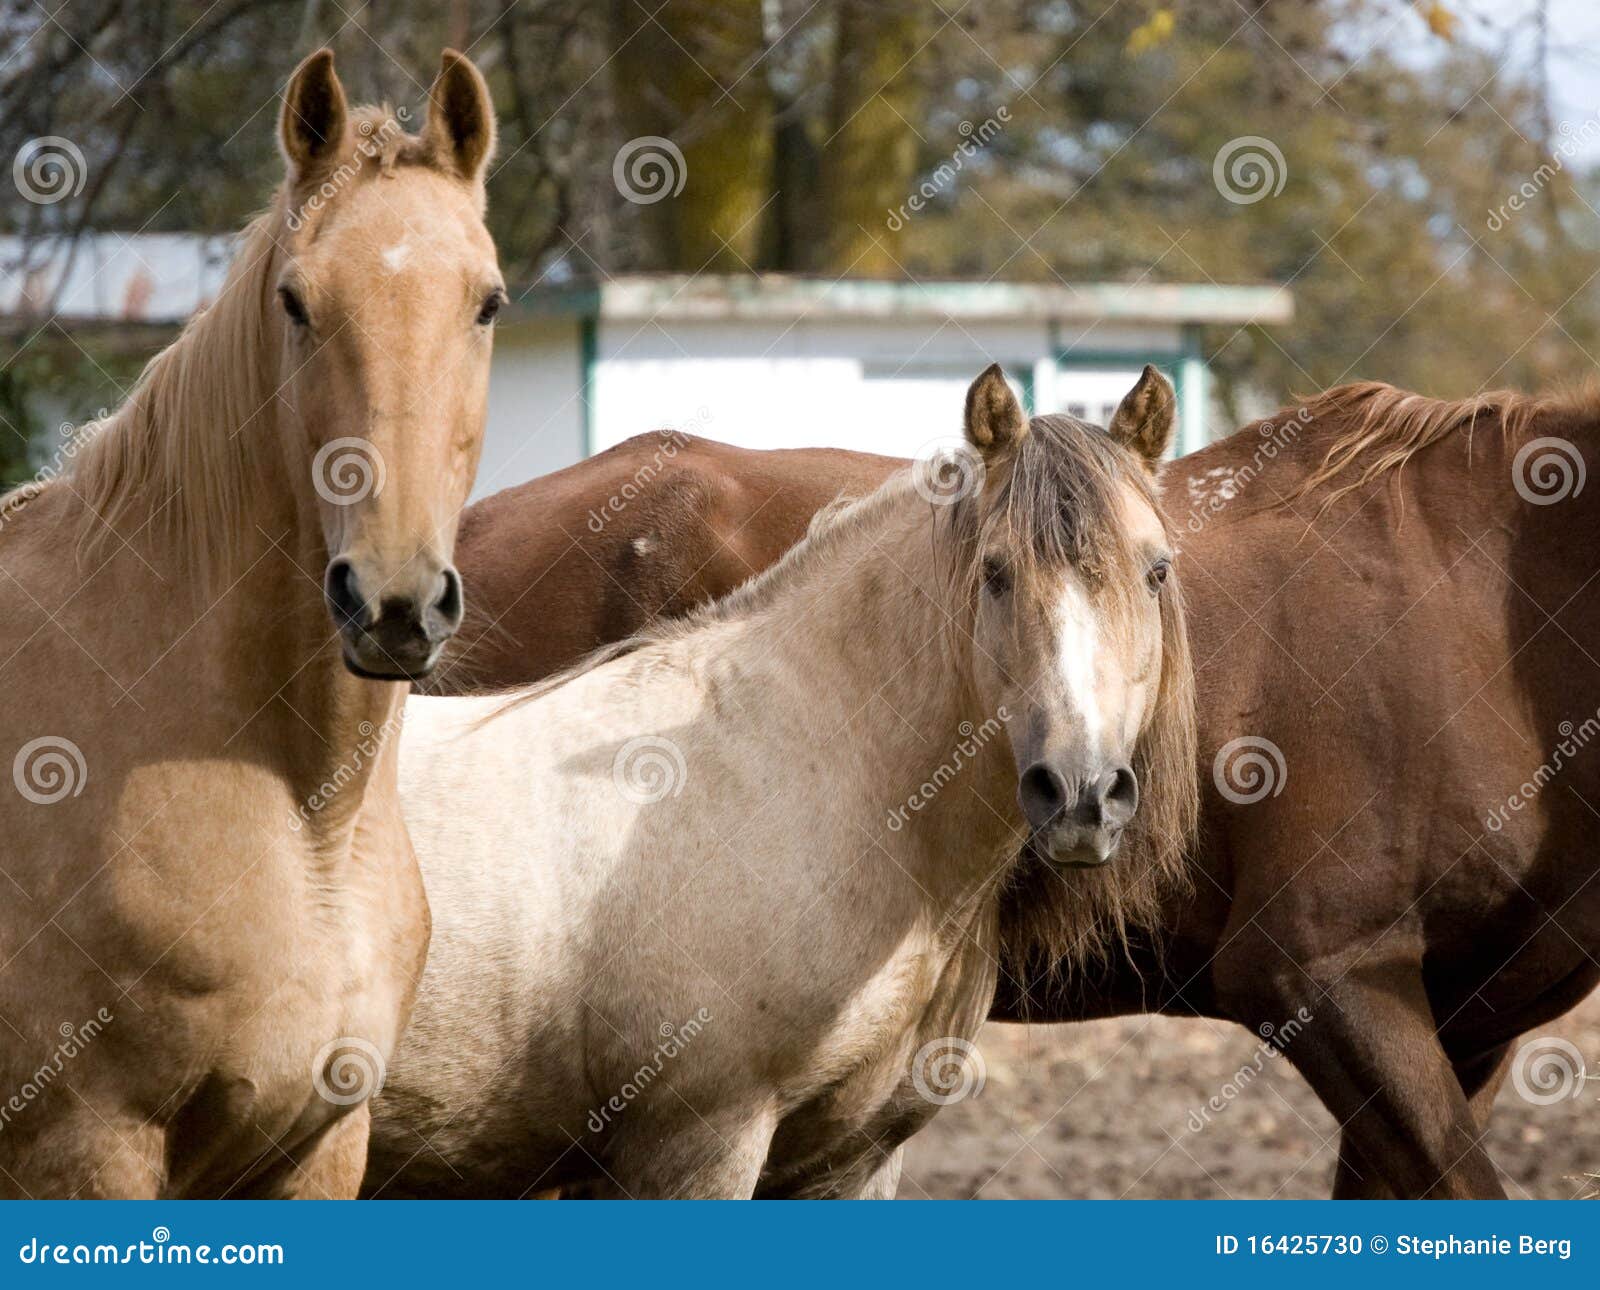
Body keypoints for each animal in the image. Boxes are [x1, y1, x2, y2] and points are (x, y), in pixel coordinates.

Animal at [0, 48, 500, 1197]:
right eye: (295, 303)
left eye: (489, 304)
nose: (394, 602)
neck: (306, 825)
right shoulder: (88, 1148)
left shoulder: (321, 1144)